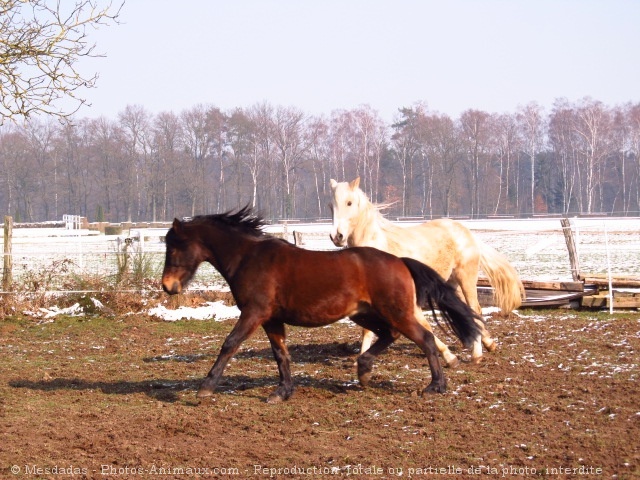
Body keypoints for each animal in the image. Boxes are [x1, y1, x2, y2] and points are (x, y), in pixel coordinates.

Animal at [160, 206, 480, 402]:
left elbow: (230, 344)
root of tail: (399, 261)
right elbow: (281, 355)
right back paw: (364, 371)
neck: (249, 258)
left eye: (174, 247)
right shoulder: (272, 319)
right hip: (364, 314)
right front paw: (282, 392)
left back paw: (435, 386)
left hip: (396, 312)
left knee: (425, 339)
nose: (167, 286)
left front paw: (205, 387)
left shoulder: (254, 313)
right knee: (390, 335)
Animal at [330, 178, 524, 366]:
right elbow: (368, 330)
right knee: (467, 312)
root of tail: (464, 230)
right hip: (452, 283)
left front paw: (450, 358)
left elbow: (423, 327)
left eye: (349, 202)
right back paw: (489, 344)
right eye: (331, 205)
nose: (337, 236)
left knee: (474, 309)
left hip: (466, 278)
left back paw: (477, 355)